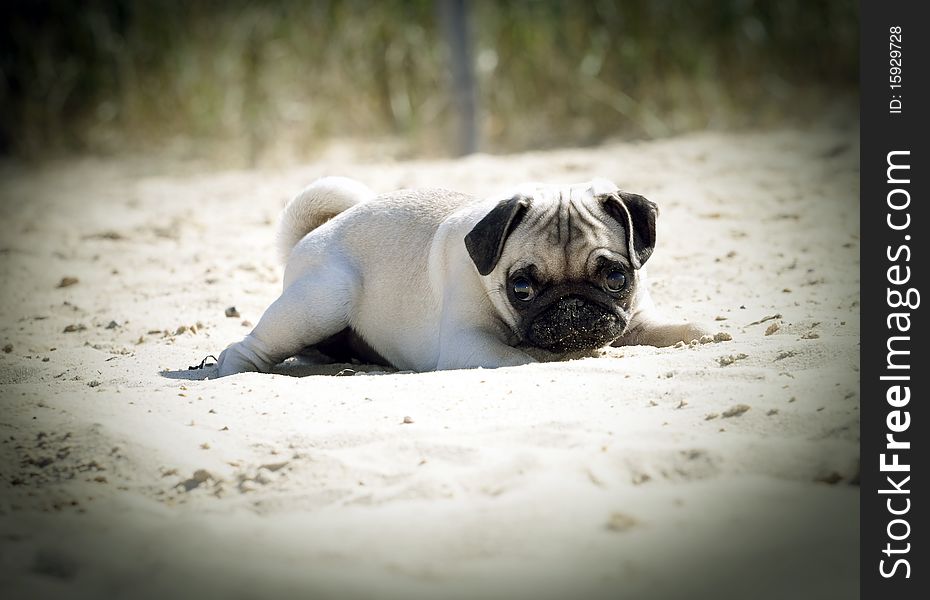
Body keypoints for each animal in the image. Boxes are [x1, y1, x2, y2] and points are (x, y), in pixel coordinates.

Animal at [216, 175, 704, 376]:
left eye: (616, 278)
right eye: (521, 287)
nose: (572, 306)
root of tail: (309, 237)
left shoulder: (635, 317)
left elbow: (671, 329)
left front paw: (702, 334)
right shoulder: (468, 344)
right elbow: (529, 357)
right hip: (324, 299)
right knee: (246, 347)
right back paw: (235, 370)